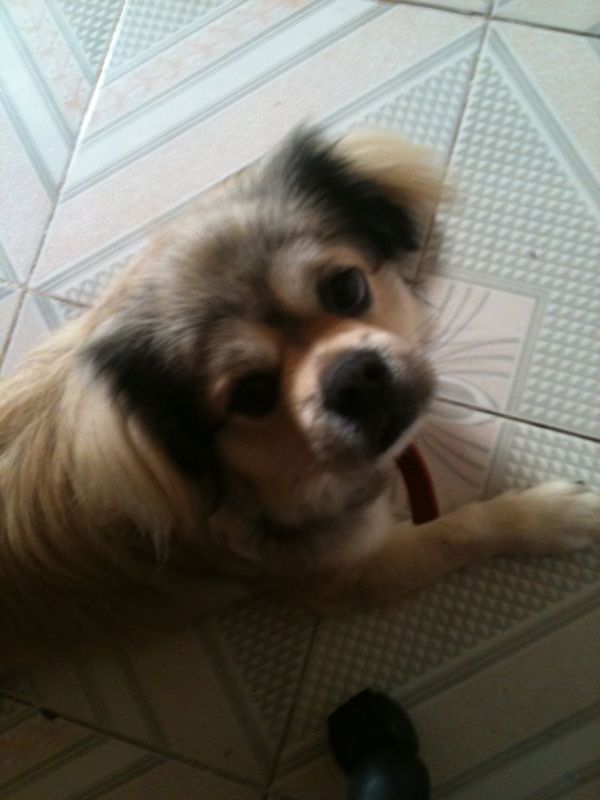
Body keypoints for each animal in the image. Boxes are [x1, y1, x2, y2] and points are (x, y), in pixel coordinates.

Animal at [1, 126, 598, 640]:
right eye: (251, 394)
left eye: (347, 288)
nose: (354, 379)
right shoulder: (349, 571)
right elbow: (458, 531)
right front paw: (549, 516)